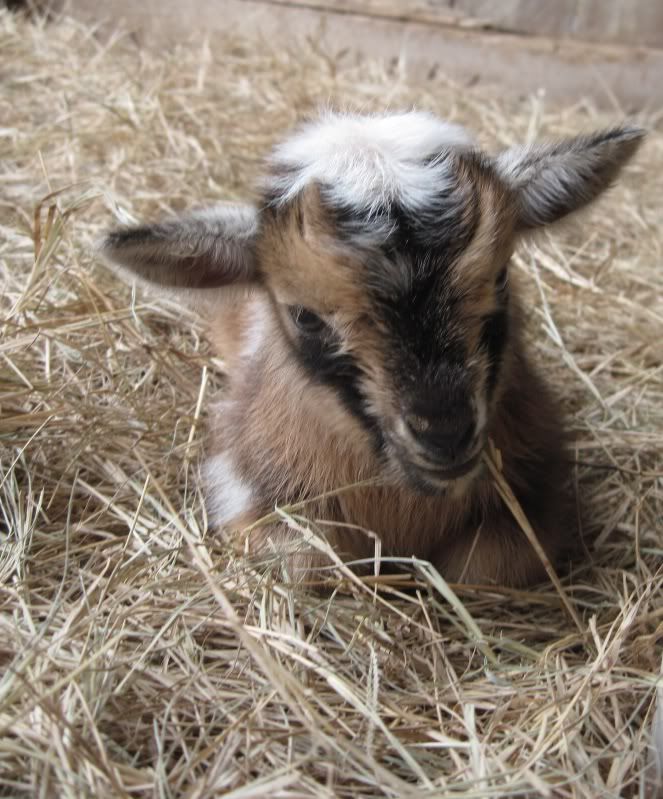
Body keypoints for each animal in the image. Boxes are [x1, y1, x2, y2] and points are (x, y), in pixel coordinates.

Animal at [101, 111, 644, 586]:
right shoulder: (245, 490)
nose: (444, 434)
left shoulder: (538, 491)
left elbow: (482, 572)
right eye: (304, 315)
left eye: (501, 278)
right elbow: (308, 565)